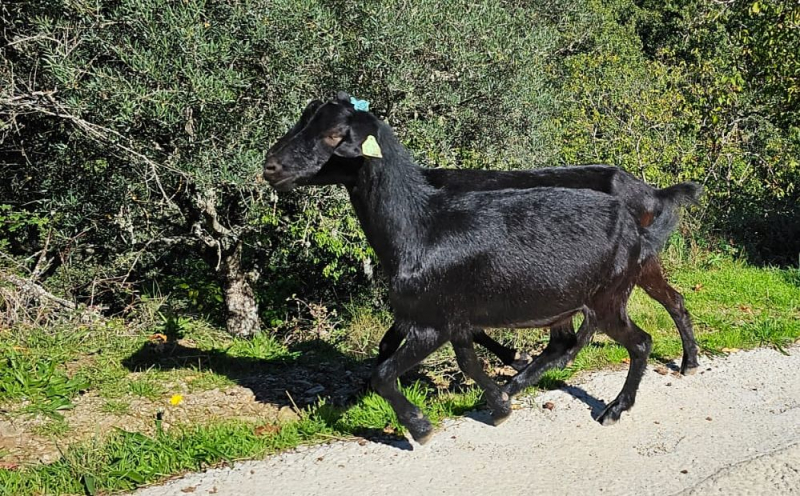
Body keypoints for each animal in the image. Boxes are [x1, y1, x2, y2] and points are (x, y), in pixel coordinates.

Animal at [264, 95, 700, 444]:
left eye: (334, 135)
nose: (271, 167)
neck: (420, 225)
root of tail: (648, 198)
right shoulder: (450, 314)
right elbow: (466, 359)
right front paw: (499, 402)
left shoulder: (430, 319)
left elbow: (386, 369)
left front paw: (419, 426)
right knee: (630, 318)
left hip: (609, 293)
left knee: (638, 340)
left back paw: (616, 407)